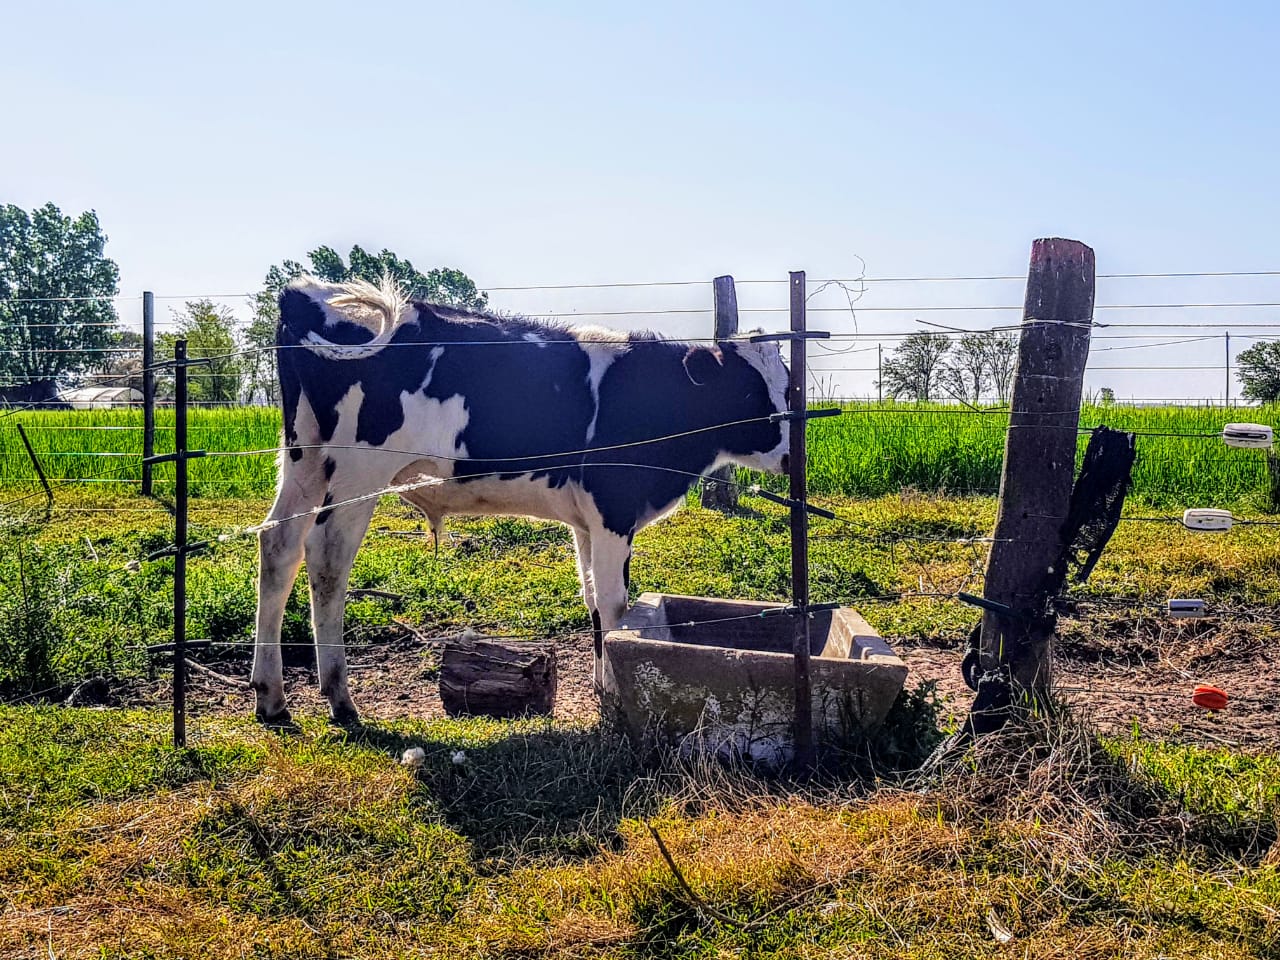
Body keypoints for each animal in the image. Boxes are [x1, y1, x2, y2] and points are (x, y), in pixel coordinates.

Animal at [249, 276, 788, 721]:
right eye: (746, 392)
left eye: (789, 386)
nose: (790, 457)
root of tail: (306, 293)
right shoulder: (614, 508)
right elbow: (615, 606)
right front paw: (616, 699)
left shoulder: (587, 520)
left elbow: (593, 601)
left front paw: (601, 689)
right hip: (359, 471)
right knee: (328, 560)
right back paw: (339, 696)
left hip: (304, 459)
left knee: (279, 546)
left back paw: (272, 696)